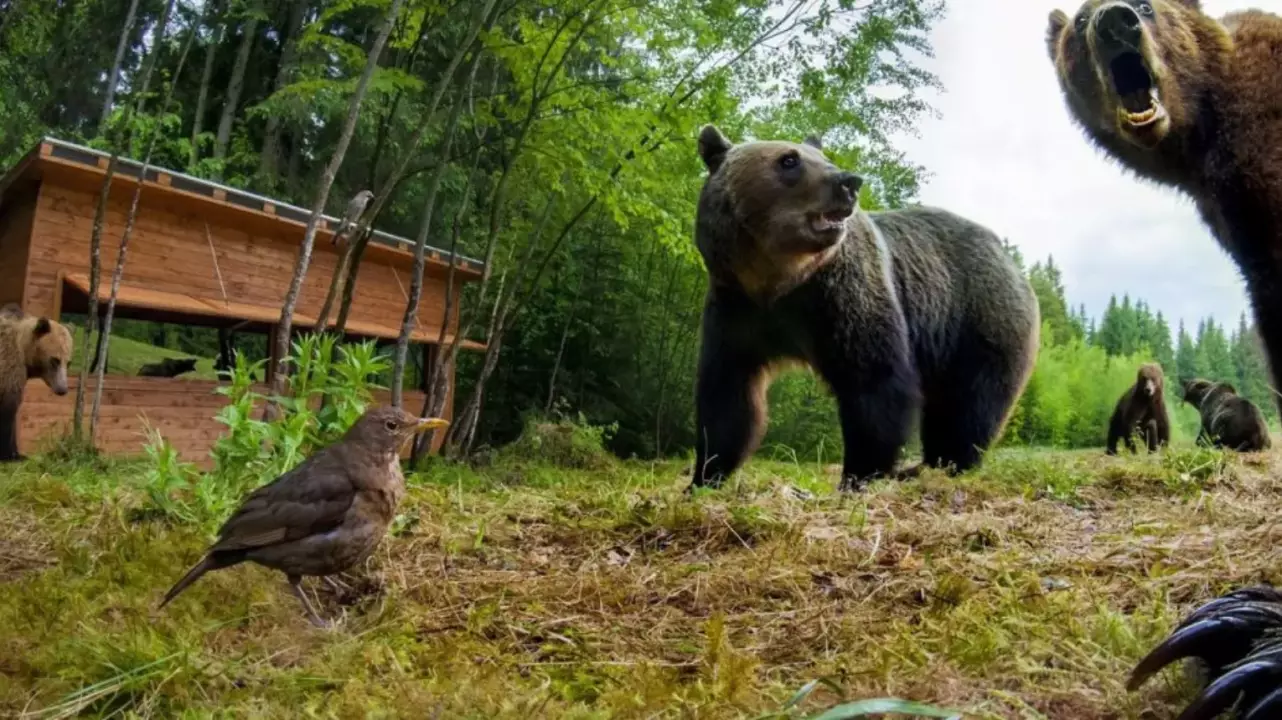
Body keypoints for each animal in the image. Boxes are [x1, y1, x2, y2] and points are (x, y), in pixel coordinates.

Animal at [0, 312, 74, 458]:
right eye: (55, 360)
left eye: (68, 362)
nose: (63, 389)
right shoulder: (10, 370)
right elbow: (8, 411)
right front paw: (12, 454)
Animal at [692, 126, 1040, 489]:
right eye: (789, 160)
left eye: (825, 158)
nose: (849, 182)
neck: (779, 282)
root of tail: (1005, 254)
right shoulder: (737, 310)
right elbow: (728, 396)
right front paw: (705, 476)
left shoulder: (844, 299)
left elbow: (875, 383)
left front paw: (860, 475)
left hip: (979, 321)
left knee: (969, 404)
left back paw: (947, 464)